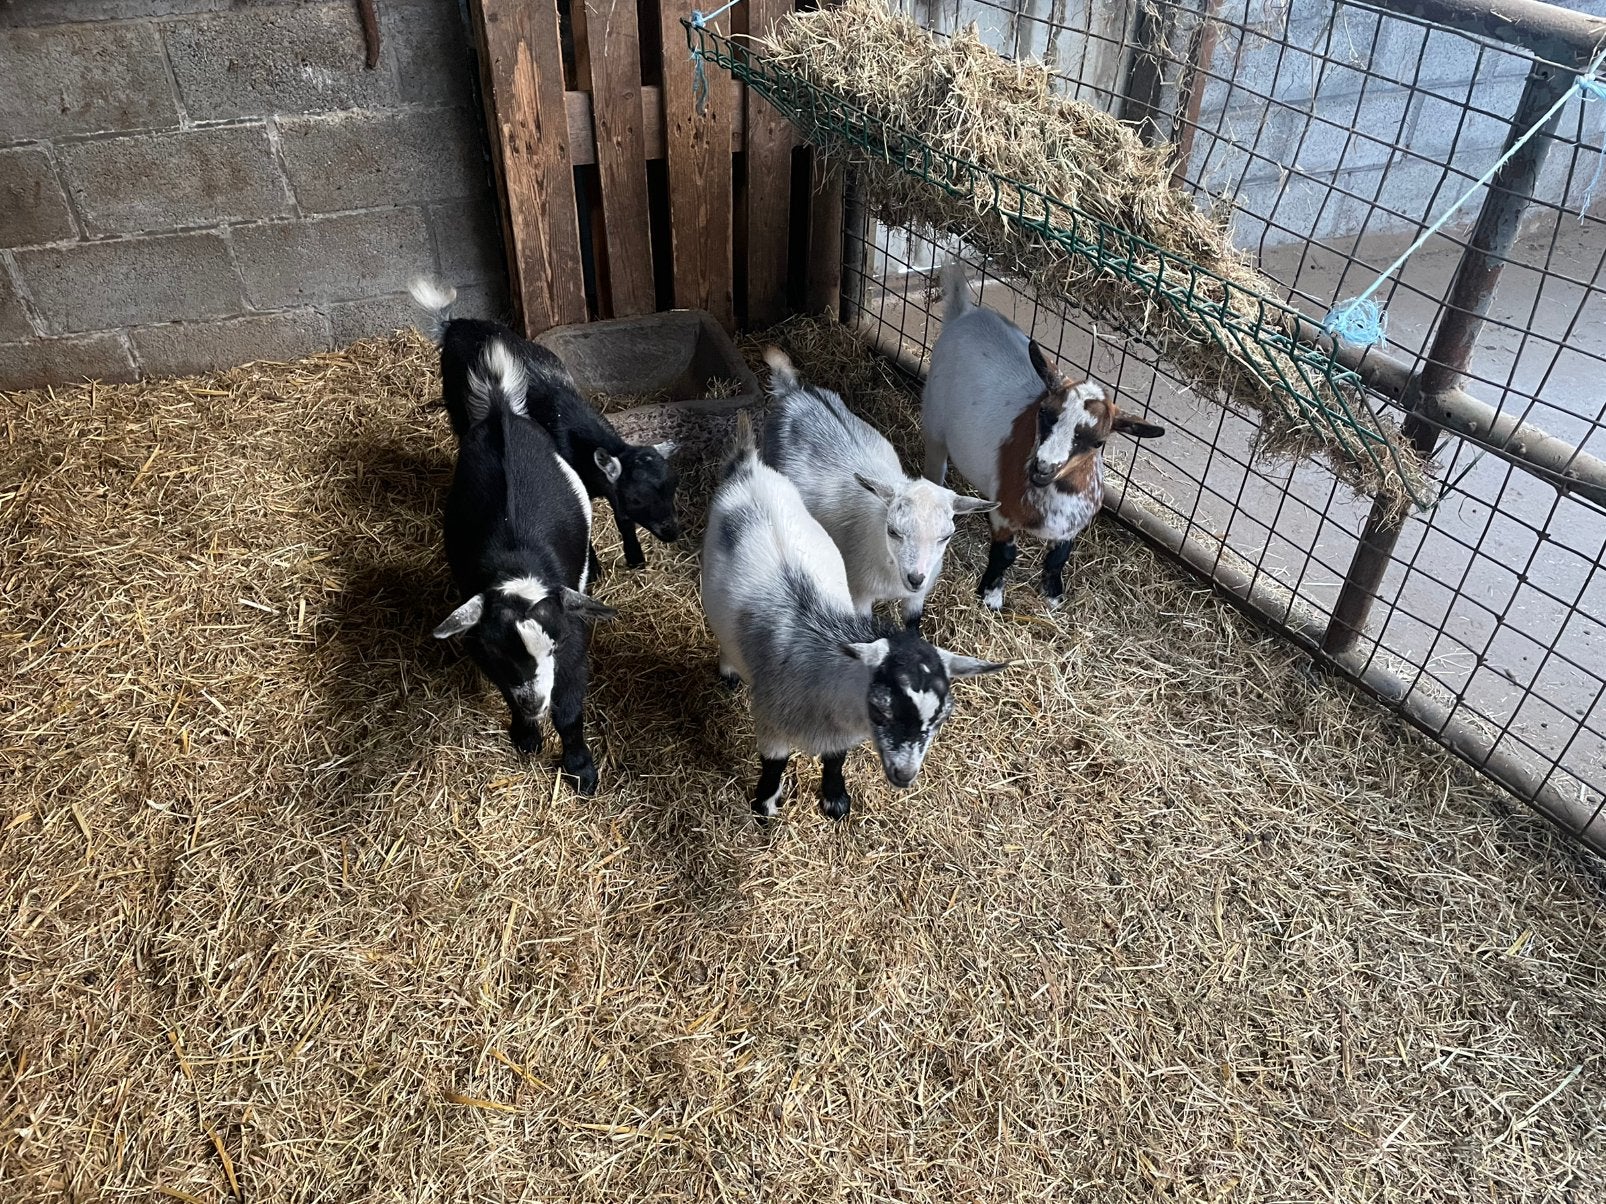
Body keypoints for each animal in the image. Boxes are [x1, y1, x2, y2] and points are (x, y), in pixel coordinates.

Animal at [410, 279, 680, 569]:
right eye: (637, 498)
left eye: (672, 488)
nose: (672, 533)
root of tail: (453, 325)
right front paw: (594, 566)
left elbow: (622, 518)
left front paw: (636, 558)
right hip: (456, 402)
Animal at [432, 335, 617, 794]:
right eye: (500, 651)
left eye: (554, 644)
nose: (535, 701)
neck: (519, 565)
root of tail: (502, 413)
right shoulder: (482, 646)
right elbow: (507, 692)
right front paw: (526, 734)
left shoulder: (573, 641)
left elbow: (569, 709)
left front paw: (580, 769)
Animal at [701, 412, 1008, 823]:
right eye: (881, 708)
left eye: (941, 717)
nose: (905, 775)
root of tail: (749, 467)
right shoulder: (770, 723)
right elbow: (773, 766)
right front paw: (764, 808)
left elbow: (836, 759)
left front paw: (835, 800)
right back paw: (729, 672)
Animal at [760, 348, 994, 629]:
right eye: (892, 531)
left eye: (945, 537)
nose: (915, 578)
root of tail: (794, 393)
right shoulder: (859, 593)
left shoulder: (916, 599)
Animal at [922, 260, 1165, 609]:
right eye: (1044, 413)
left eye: (1098, 441)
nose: (1042, 467)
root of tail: (964, 315)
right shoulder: (1004, 514)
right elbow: (1005, 554)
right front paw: (991, 596)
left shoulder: (1071, 527)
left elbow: (1057, 558)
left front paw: (1053, 596)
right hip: (934, 419)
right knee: (935, 464)